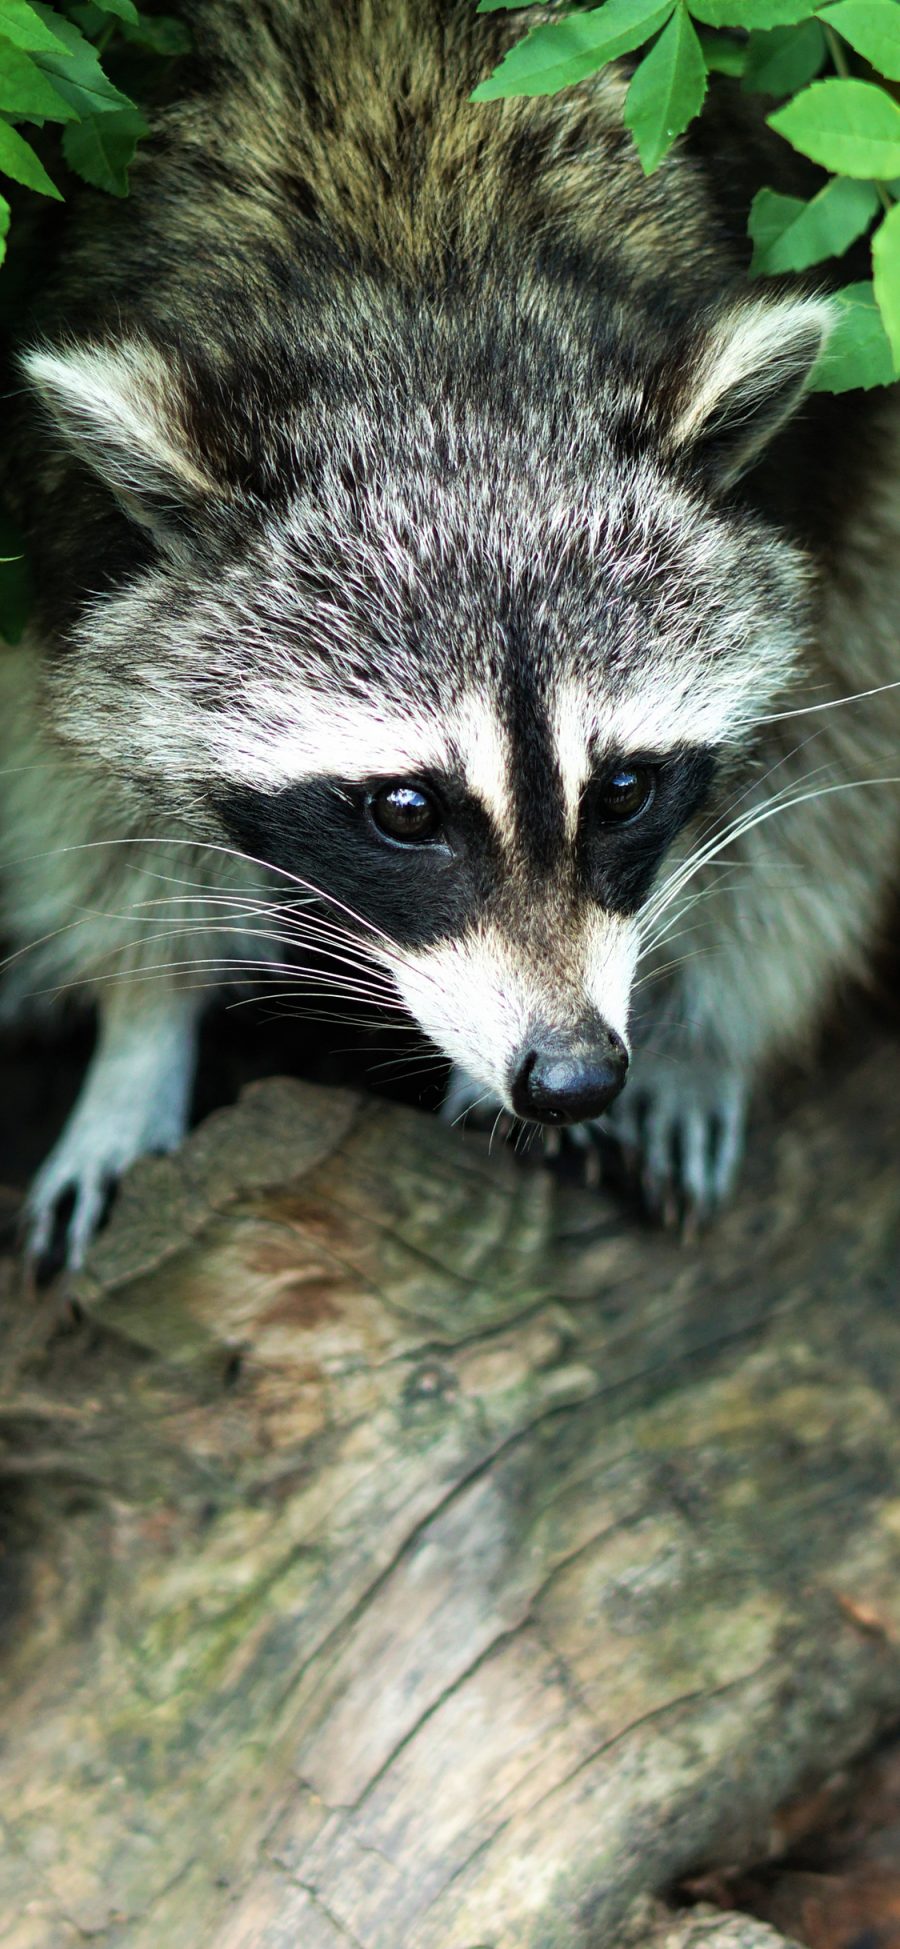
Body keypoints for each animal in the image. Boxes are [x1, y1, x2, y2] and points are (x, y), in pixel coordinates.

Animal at [1, 0, 900, 1270]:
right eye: (406, 810)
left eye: (624, 790)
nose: (573, 1074)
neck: (430, 299)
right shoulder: (65, 526)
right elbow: (83, 784)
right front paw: (140, 1029)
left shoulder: (818, 466)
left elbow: (817, 747)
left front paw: (692, 1028)